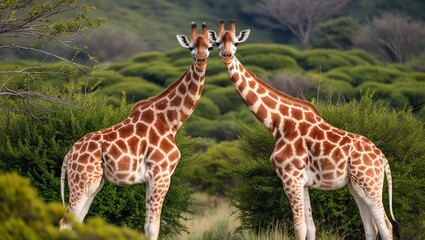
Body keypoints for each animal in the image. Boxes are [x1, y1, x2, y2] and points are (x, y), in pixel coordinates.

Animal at [58, 22, 211, 240]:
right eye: (190, 48)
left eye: (210, 47)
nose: (200, 61)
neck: (170, 121)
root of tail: (68, 155)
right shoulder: (161, 175)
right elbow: (153, 228)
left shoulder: (151, 179)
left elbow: (147, 226)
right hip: (83, 181)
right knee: (64, 223)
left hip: (94, 183)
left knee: (76, 222)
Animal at [207, 21, 400, 240]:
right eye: (218, 42)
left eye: (236, 42)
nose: (227, 56)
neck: (279, 122)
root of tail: (382, 159)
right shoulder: (304, 182)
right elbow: (311, 228)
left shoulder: (291, 177)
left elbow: (299, 228)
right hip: (356, 186)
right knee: (371, 227)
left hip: (369, 183)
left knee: (386, 226)